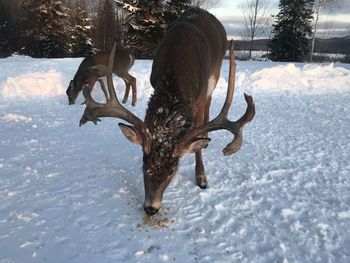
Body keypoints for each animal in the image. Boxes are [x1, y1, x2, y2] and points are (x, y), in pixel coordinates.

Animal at [78, 7, 254, 217]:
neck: (176, 69)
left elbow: (197, 133)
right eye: (144, 163)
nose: (151, 208)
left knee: (208, 110)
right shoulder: (156, 83)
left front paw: (201, 177)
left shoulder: (200, 96)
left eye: (172, 170)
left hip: (216, 73)